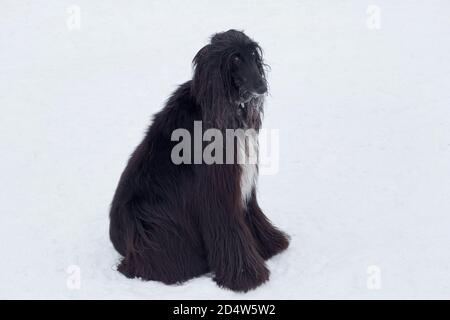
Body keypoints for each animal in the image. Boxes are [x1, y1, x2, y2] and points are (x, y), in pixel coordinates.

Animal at [110, 30, 290, 292]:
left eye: (253, 54)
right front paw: (246, 277)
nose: (261, 86)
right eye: (235, 58)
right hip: (153, 223)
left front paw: (269, 245)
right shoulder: (216, 190)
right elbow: (228, 228)